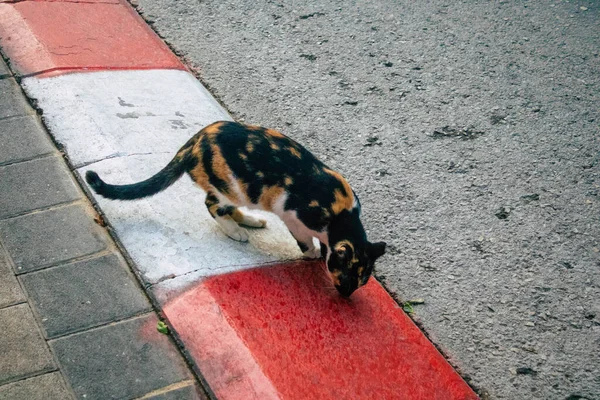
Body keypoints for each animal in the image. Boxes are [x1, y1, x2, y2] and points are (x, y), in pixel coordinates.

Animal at [86, 120, 386, 296]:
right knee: (212, 205)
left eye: (361, 282)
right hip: (232, 188)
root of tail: (194, 142)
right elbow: (304, 239)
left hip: (238, 192)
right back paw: (236, 231)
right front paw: (312, 253)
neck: (342, 216)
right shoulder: (294, 217)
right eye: (346, 278)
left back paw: (251, 221)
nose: (346, 296)